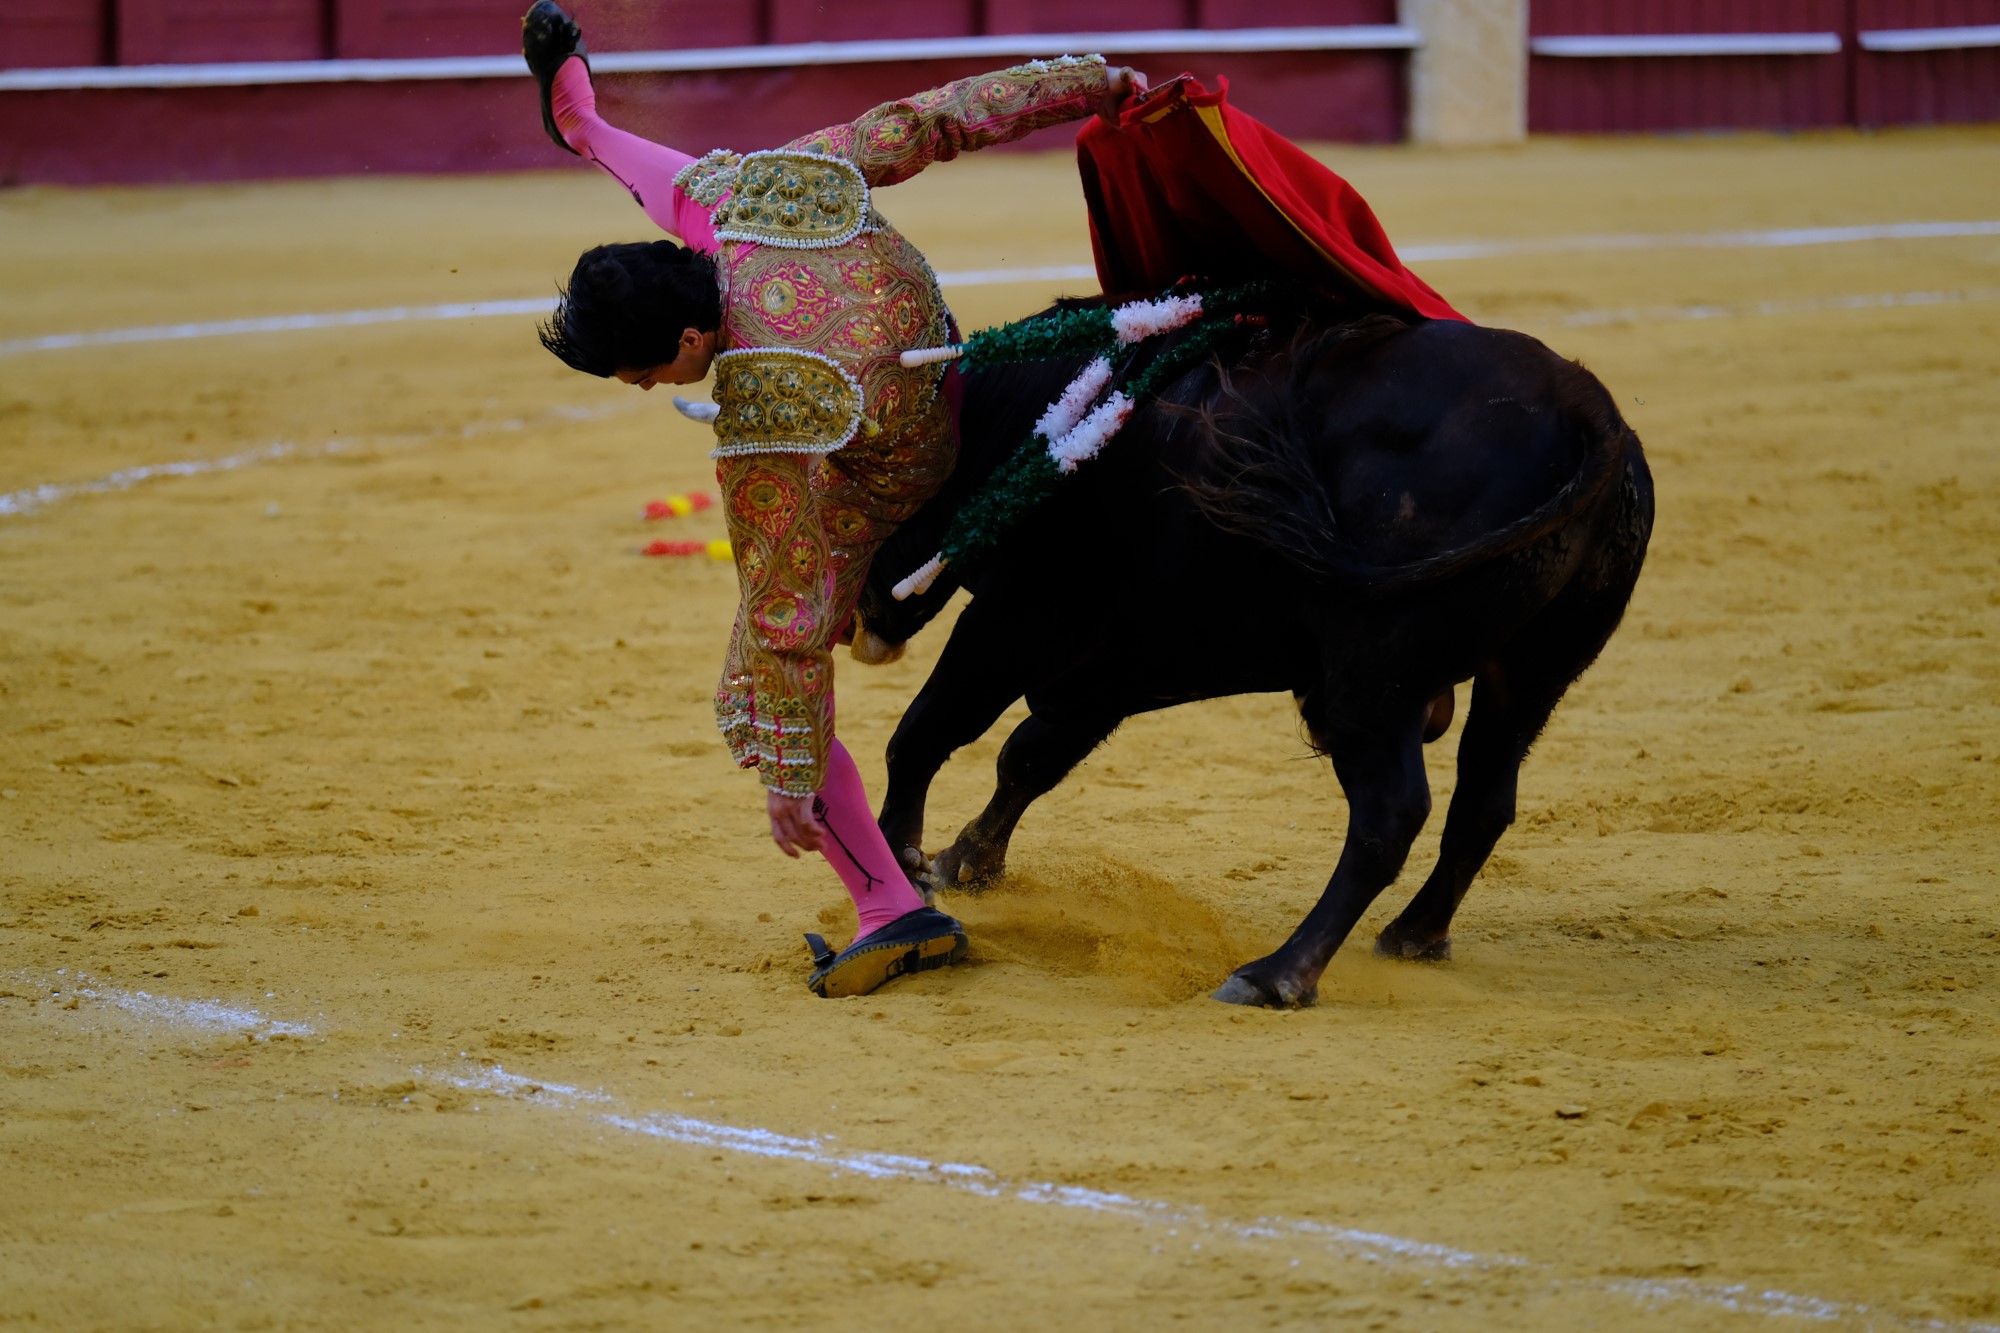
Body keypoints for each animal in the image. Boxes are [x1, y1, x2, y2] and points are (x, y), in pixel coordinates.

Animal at [852, 306, 1648, 1000]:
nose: (862, 617)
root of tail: (1587, 408)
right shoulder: (1115, 663)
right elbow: (1029, 755)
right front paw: (963, 863)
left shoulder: (1013, 620)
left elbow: (924, 732)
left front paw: (906, 865)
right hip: (1533, 671)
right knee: (1484, 797)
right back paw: (1413, 936)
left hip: (1376, 674)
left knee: (1390, 813)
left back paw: (1276, 975)